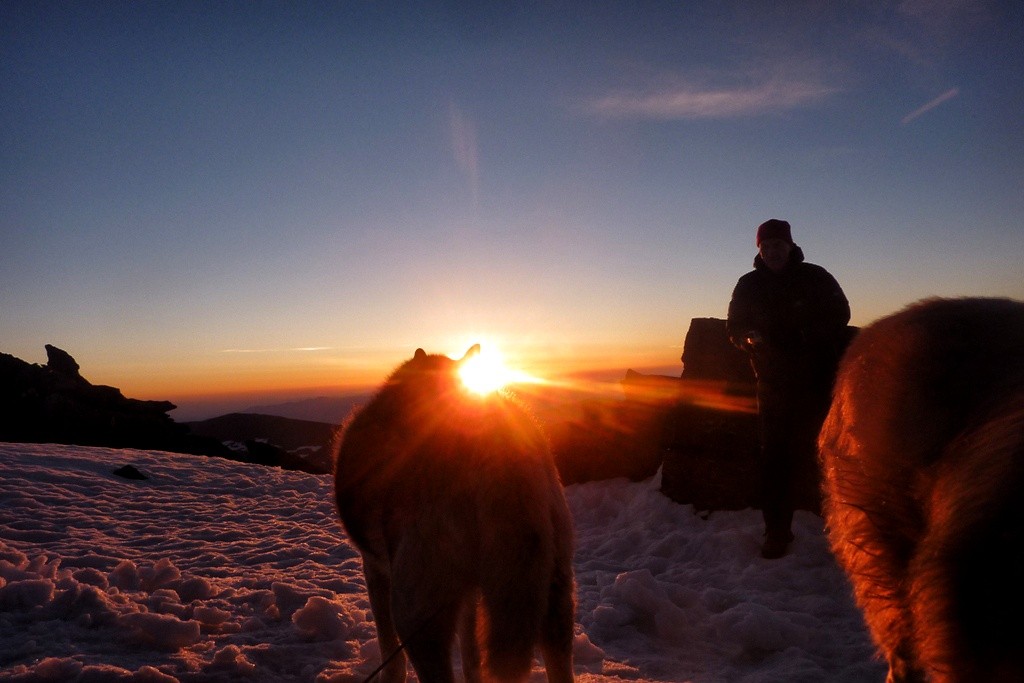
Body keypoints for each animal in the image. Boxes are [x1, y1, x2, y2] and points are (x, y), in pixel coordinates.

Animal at [335, 348, 577, 683]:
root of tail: (494, 450)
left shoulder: (374, 568)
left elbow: (389, 652)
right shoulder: (470, 593)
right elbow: (472, 655)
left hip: (415, 613)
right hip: (553, 594)